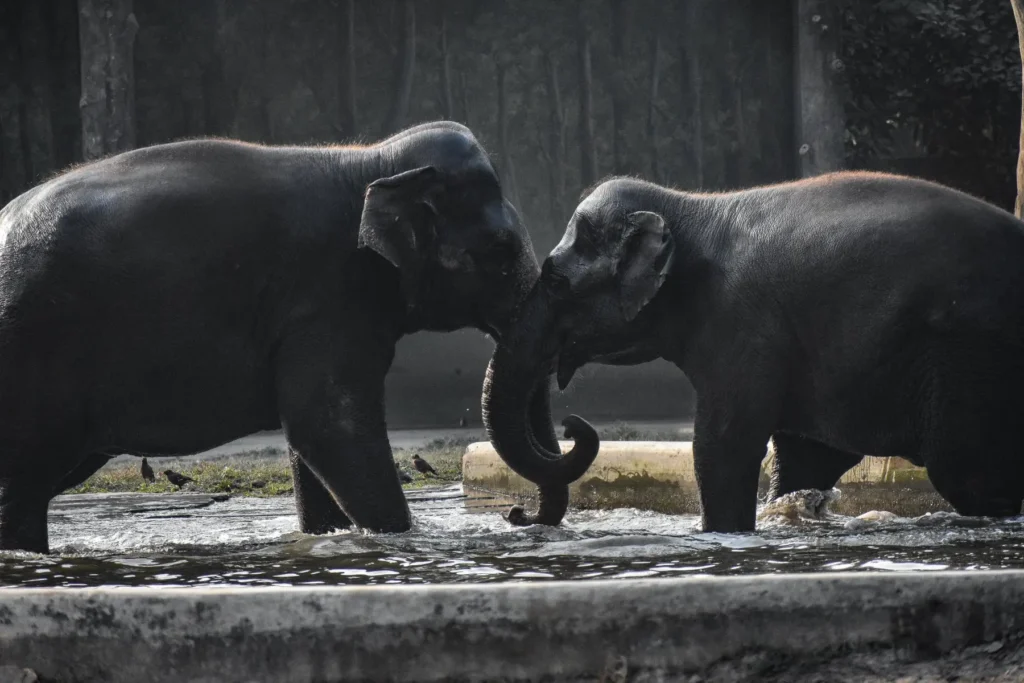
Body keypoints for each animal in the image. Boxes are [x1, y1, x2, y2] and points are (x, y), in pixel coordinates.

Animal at [0, 120, 595, 553]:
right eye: (499, 251)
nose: (518, 516)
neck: (370, 162)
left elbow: (309, 440)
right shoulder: (327, 295)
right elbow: (328, 427)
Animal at [482, 171, 1024, 532]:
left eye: (555, 280)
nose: (517, 514)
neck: (690, 209)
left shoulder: (741, 326)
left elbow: (722, 447)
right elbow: (807, 457)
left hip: (972, 351)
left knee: (966, 472)